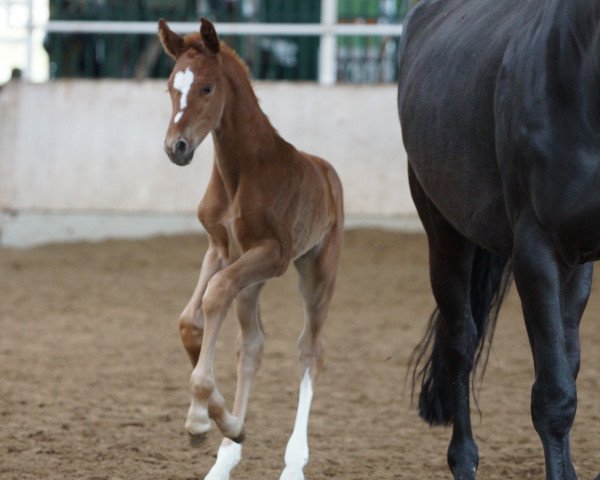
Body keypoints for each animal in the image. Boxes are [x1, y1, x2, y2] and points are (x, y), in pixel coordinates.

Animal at [157, 18, 344, 480]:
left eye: (207, 87)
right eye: (171, 87)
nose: (176, 148)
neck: (241, 172)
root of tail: (327, 173)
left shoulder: (273, 254)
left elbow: (215, 296)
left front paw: (200, 415)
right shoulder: (221, 248)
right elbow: (191, 319)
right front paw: (213, 420)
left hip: (317, 269)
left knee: (311, 349)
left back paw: (293, 463)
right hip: (253, 279)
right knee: (252, 344)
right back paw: (228, 451)